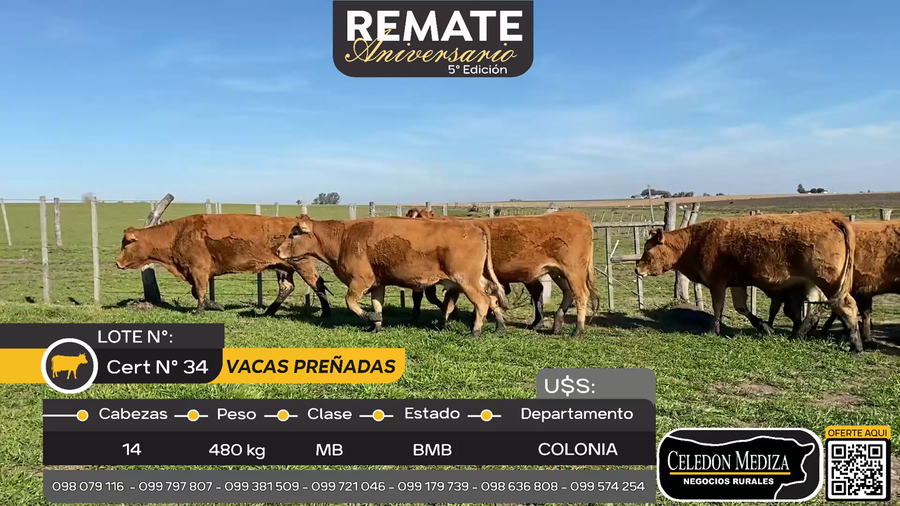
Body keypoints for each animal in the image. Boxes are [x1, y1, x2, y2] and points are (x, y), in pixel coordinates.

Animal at [115, 214, 331, 315]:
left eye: (126, 243)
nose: (117, 263)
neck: (178, 234)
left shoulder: (198, 268)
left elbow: (200, 291)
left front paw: (200, 311)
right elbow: (197, 292)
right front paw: (216, 305)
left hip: (302, 264)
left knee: (317, 283)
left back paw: (326, 313)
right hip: (283, 268)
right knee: (287, 287)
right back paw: (269, 311)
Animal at [276, 215, 508, 337]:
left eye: (294, 233)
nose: (277, 251)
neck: (344, 239)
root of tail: (473, 226)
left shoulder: (361, 281)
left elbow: (350, 301)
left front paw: (371, 318)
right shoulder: (377, 284)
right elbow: (377, 304)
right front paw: (375, 325)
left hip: (466, 280)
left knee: (482, 302)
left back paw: (475, 331)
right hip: (475, 280)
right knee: (493, 297)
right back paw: (499, 326)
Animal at [405, 211, 598, 336]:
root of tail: (576, 215)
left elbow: (444, 301)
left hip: (573, 270)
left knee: (581, 294)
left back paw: (577, 330)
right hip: (558, 272)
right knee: (566, 293)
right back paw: (553, 325)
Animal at [635, 212, 864, 352]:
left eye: (648, 249)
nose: (637, 269)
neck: (696, 241)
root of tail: (831, 217)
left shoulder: (718, 283)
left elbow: (718, 308)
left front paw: (714, 330)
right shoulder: (737, 283)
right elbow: (742, 308)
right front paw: (765, 327)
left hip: (827, 281)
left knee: (846, 306)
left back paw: (855, 343)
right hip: (815, 284)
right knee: (816, 310)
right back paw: (799, 333)